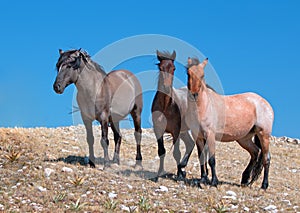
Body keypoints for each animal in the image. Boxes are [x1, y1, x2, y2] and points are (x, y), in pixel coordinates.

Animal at [151, 50, 196, 180]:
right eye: (160, 67)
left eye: (174, 68)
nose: (166, 87)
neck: (166, 106)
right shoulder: (158, 129)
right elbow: (161, 151)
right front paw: (159, 173)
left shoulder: (175, 131)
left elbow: (176, 153)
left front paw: (180, 174)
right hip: (184, 131)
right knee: (190, 144)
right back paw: (183, 166)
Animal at [185, 57, 274, 189]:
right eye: (188, 73)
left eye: (202, 75)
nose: (194, 94)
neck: (203, 106)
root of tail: (265, 103)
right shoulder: (199, 137)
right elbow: (202, 158)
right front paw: (203, 179)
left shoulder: (210, 135)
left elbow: (212, 160)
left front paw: (214, 181)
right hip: (244, 139)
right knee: (255, 152)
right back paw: (245, 180)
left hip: (264, 135)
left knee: (266, 158)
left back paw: (264, 185)